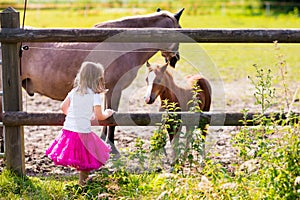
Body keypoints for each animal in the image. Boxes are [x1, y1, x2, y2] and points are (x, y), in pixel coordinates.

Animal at [0, 8, 185, 154]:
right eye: (180, 29)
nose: (175, 58)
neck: (121, 45)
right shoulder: (115, 89)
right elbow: (112, 117)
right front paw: (112, 147)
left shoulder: (107, 90)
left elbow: (105, 115)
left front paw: (104, 141)